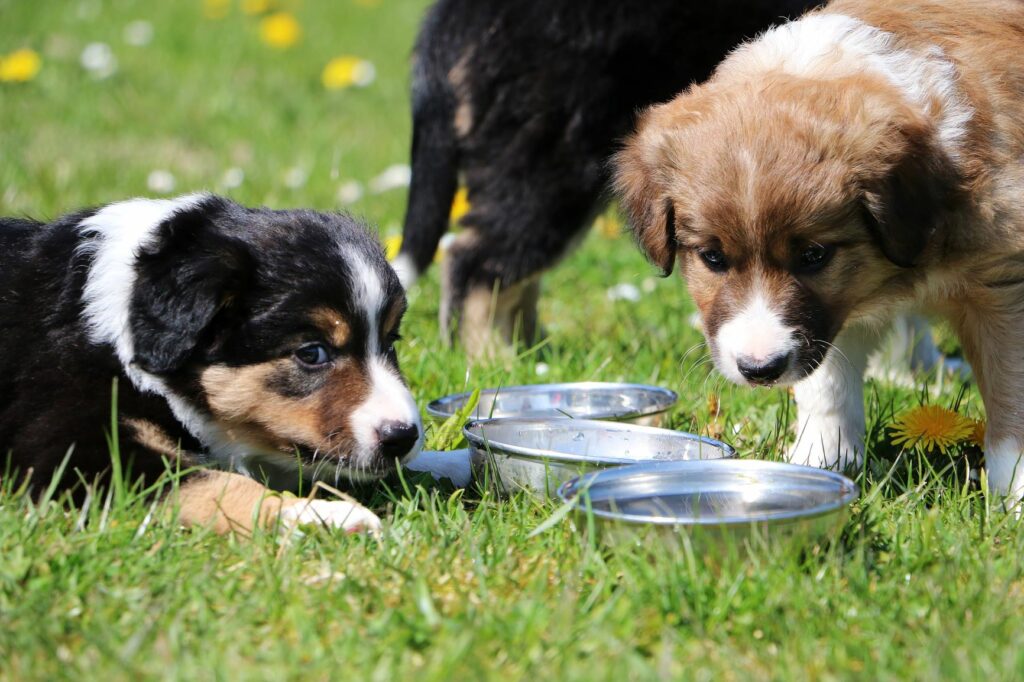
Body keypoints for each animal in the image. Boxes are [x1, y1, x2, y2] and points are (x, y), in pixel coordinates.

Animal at [0, 191, 421, 532]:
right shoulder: (75, 443)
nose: (404, 437)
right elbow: (211, 482)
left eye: (389, 341)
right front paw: (316, 515)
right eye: (312, 353)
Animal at [610, 0, 1024, 499]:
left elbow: (1011, 402)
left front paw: (1015, 496)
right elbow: (827, 383)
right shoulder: (837, 306)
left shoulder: (1003, 287)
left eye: (813, 256)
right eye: (712, 258)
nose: (759, 369)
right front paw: (820, 461)